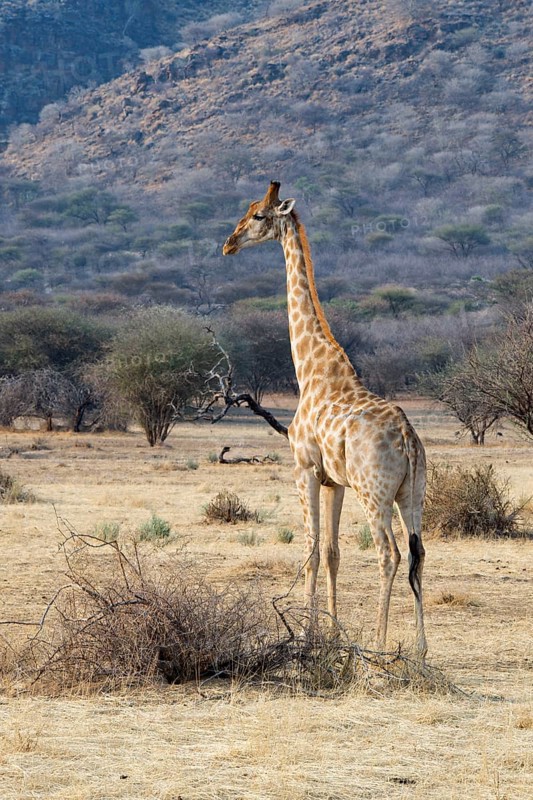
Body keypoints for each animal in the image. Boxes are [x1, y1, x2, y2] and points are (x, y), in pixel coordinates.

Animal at [223, 181, 427, 658]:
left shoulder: (304, 470)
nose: (229, 244)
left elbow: (312, 551)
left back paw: (379, 645)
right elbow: (333, 553)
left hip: (375, 494)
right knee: (418, 555)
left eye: (258, 215)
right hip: (413, 494)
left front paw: (308, 635)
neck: (311, 370)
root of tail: (408, 438)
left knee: (389, 554)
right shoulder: (335, 481)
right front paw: (332, 634)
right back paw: (422, 649)